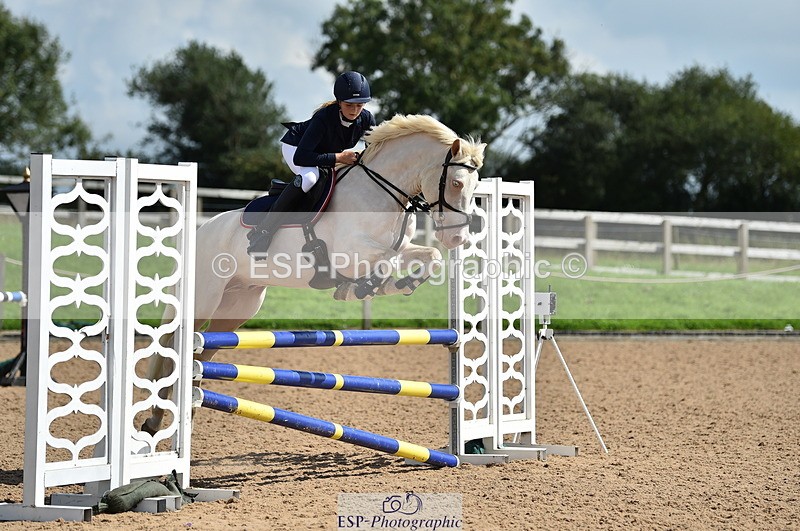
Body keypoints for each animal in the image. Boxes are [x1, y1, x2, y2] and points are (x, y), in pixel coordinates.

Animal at [142, 114, 486, 433]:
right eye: (456, 183)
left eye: (475, 188)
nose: (458, 238)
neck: (382, 193)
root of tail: (201, 231)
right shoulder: (351, 252)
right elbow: (386, 261)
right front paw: (363, 287)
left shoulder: (401, 247)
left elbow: (431, 257)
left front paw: (400, 284)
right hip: (204, 299)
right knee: (175, 348)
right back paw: (156, 421)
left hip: (237, 307)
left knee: (205, 352)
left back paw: (180, 413)